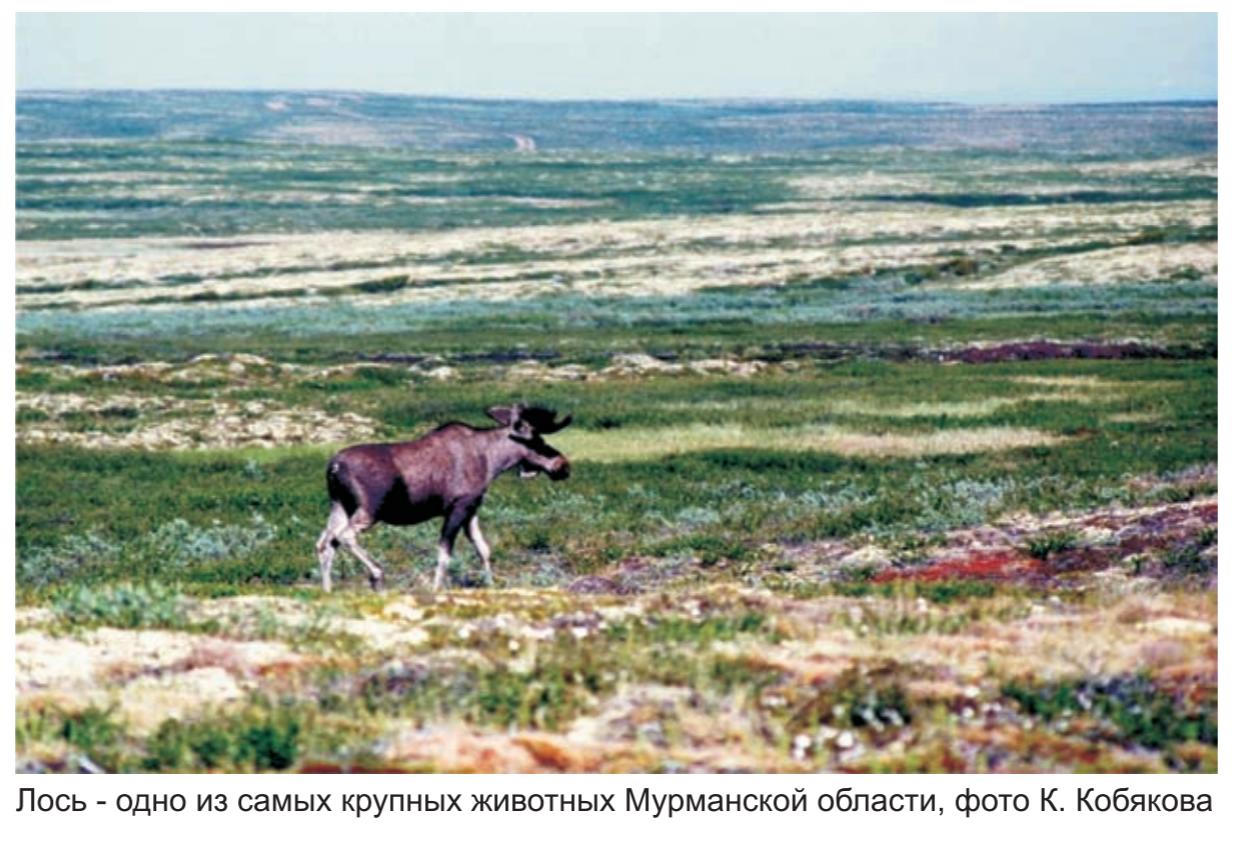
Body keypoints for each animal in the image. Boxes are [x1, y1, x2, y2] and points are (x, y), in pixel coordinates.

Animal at [316, 403, 572, 592]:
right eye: (537, 440)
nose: (563, 466)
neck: (492, 461)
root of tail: (333, 467)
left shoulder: (471, 510)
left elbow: (483, 548)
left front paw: (490, 584)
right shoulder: (458, 507)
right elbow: (445, 553)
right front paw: (436, 588)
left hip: (339, 506)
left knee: (325, 543)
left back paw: (327, 591)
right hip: (369, 510)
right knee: (344, 536)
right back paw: (377, 573)